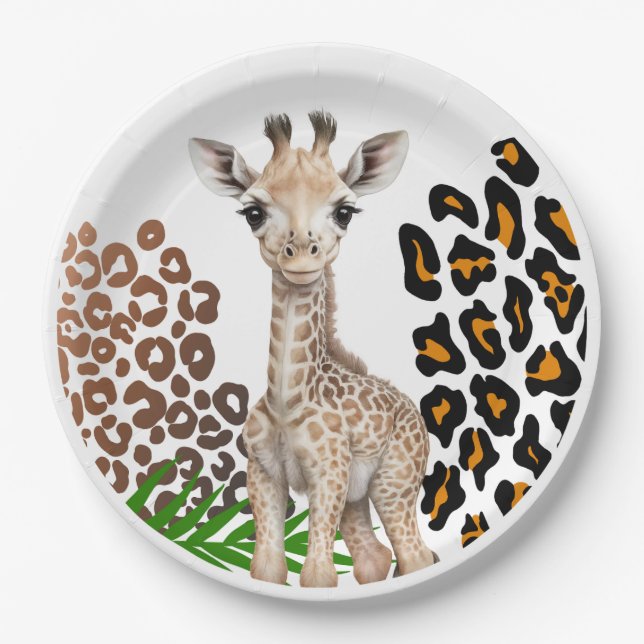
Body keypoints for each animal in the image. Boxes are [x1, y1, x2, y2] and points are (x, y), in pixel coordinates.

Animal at [189, 111, 438, 588]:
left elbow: (318, 575)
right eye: (253, 212)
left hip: (393, 482)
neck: (288, 401)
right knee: (374, 559)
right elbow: (267, 568)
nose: (303, 256)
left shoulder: (328, 474)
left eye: (345, 212)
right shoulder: (263, 472)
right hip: (358, 498)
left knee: (414, 556)